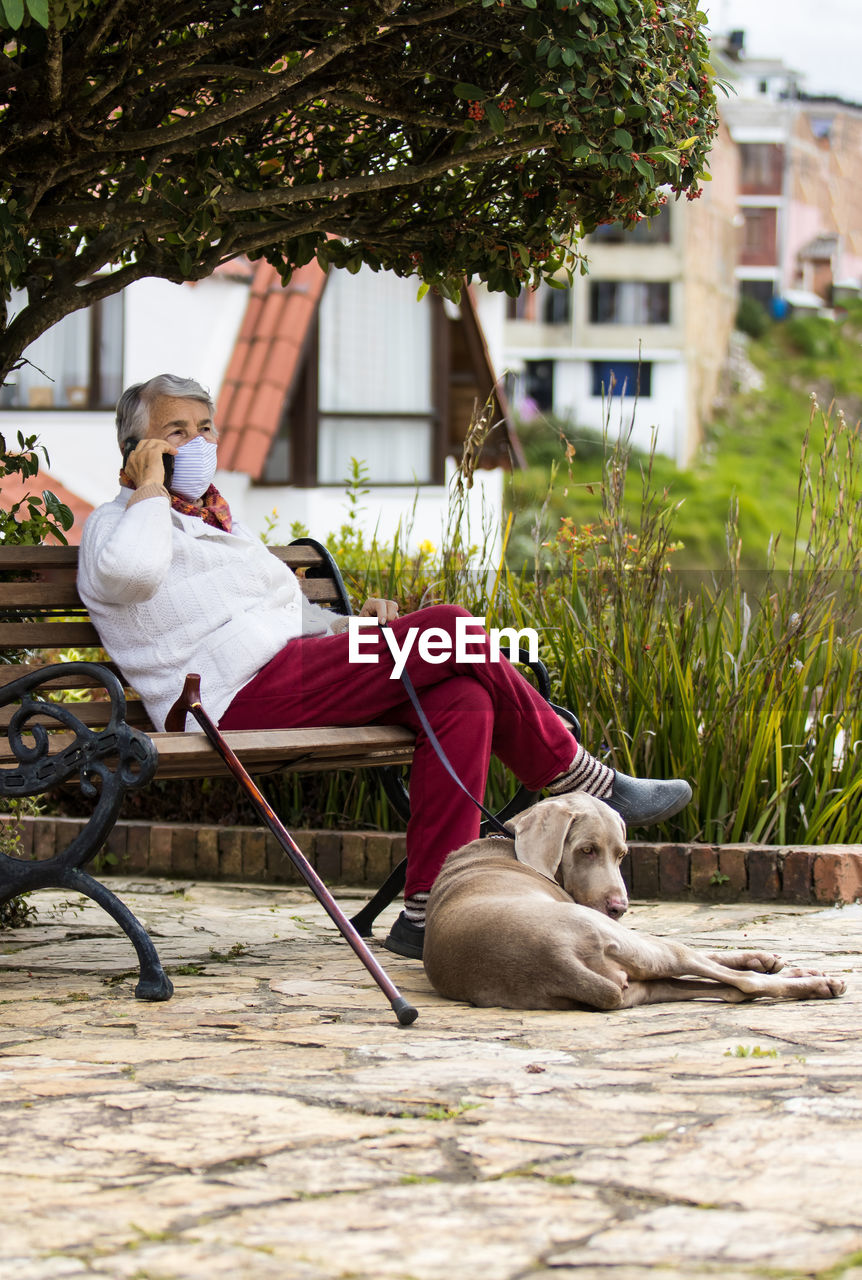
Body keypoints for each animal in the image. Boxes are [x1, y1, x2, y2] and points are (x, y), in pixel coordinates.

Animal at [420, 788, 845, 1008]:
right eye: (586, 850)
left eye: (622, 854)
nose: (619, 908)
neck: (508, 842)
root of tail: (558, 961)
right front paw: (768, 962)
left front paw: (763, 956)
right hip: (640, 948)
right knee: (739, 982)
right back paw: (817, 981)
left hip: (640, 986)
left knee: (729, 989)